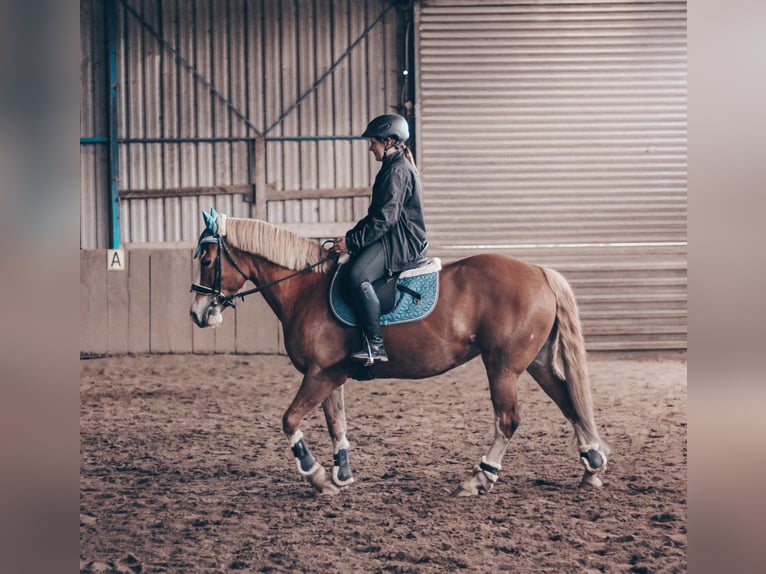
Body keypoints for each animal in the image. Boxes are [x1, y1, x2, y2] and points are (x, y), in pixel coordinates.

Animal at [189, 213, 608, 500]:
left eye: (207, 261)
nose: (198, 313)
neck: (304, 290)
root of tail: (538, 271)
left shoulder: (320, 374)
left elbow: (289, 420)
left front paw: (317, 475)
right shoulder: (330, 376)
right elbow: (337, 424)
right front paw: (342, 474)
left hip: (502, 366)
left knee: (508, 420)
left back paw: (479, 478)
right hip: (534, 362)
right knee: (569, 401)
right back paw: (591, 466)